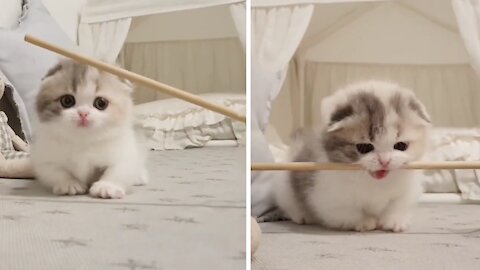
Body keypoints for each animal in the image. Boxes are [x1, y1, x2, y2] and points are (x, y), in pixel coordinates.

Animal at [31, 59, 148, 198]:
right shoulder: (45, 158)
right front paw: (70, 184)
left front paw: (106, 186)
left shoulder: (125, 153)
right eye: (67, 100)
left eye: (101, 103)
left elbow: (117, 170)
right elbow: (56, 171)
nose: (83, 113)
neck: (84, 140)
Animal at [274, 80, 432, 232]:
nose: (384, 161)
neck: (374, 183)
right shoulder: (325, 197)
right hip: (285, 189)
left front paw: (394, 221)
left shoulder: (408, 190)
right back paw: (302, 216)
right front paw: (364, 222)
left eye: (400, 146)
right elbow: (348, 212)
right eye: (364, 147)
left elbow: (398, 204)